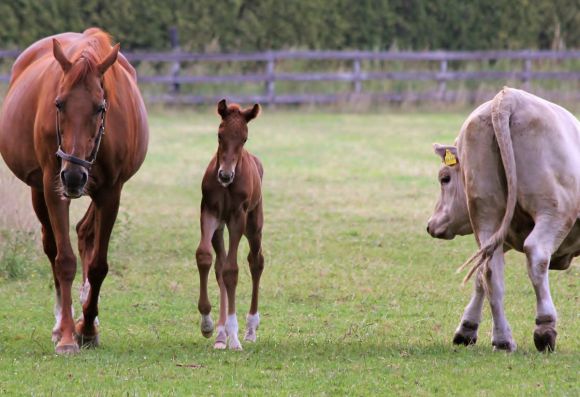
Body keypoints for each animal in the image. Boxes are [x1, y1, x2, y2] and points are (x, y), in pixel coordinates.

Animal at [0, 29, 148, 354]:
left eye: (100, 107)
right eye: (59, 104)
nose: (73, 175)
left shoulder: (111, 191)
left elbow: (98, 266)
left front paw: (88, 328)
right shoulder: (53, 187)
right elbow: (64, 260)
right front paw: (68, 335)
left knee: (84, 233)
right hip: (39, 190)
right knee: (52, 246)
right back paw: (60, 323)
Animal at [197, 99, 266, 350]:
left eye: (244, 138)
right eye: (219, 134)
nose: (225, 176)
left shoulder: (238, 217)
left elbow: (232, 270)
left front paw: (234, 336)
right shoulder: (209, 212)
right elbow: (205, 257)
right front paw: (208, 324)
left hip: (254, 225)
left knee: (256, 261)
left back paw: (249, 329)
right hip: (219, 228)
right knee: (218, 265)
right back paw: (220, 334)